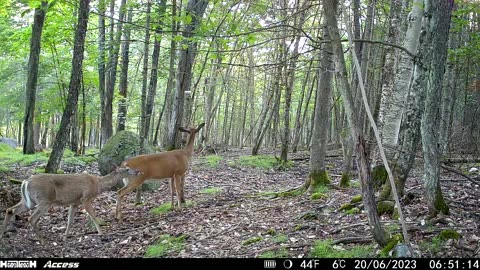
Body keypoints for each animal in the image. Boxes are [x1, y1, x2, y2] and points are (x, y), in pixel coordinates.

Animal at [0, 166, 141, 244]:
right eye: (127, 169)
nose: (138, 171)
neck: (98, 185)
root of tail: (25, 181)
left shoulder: (74, 202)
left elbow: (69, 221)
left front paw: (65, 236)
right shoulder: (85, 198)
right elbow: (94, 216)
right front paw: (102, 234)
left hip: (29, 201)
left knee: (10, 209)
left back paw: (3, 234)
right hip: (44, 200)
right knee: (31, 218)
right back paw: (43, 241)